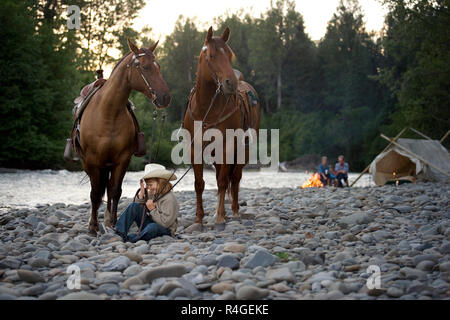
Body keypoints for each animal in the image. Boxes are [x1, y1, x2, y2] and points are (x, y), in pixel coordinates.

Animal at [78, 39, 170, 235]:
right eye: (145, 67)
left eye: (158, 66)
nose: (165, 97)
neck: (108, 112)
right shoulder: (92, 161)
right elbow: (95, 193)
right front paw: (92, 226)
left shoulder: (122, 159)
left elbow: (115, 190)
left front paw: (112, 223)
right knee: (98, 190)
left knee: (108, 187)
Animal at [182, 26, 260, 229]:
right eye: (211, 55)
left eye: (230, 54)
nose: (230, 83)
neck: (206, 110)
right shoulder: (195, 148)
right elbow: (199, 183)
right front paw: (199, 218)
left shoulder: (227, 147)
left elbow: (224, 181)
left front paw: (219, 216)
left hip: (243, 150)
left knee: (235, 178)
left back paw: (234, 211)